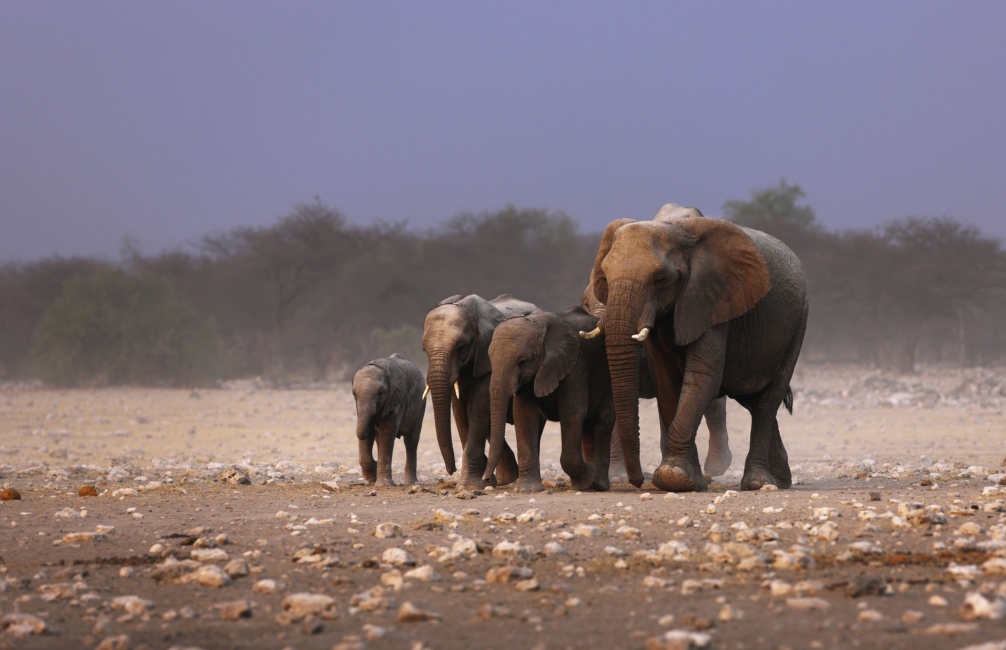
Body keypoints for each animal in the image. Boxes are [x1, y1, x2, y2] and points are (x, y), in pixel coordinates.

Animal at [353, 354, 426, 485]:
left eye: (380, 393)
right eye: (354, 393)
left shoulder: (396, 398)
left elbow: (387, 431)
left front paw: (383, 484)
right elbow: (370, 432)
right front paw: (373, 477)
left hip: (420, 404)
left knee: (411, 442)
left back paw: (410, 483)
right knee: (378, 438)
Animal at [423, 293, 537, 490]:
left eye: (460, 348)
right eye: (424, 350)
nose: (451, 470)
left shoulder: (489, 359)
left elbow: (478, 408)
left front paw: (468, 486)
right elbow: (460, 411)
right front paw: (480, 482)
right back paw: (504, 479)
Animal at [483, 307, 614, 492]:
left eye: (522, 363)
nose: (487, 479)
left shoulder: (575, 363)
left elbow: (573, 411)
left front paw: (588, 476)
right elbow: (524, 414)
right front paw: (528, 489)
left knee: (603, 421)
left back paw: (599, 484)